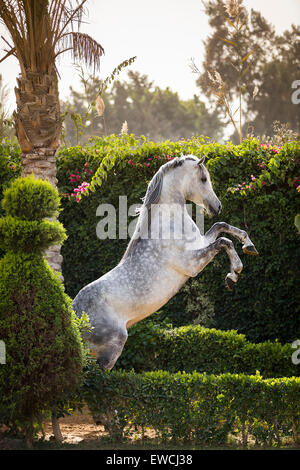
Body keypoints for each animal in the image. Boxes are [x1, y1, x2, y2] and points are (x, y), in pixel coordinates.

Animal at [72, 156, 258, 370]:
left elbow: (222, 227)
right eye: (203, 178)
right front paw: (234, 274)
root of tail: (75, 318)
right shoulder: (191, 264)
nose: (217, 207)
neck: (169, 222)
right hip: (111, 348)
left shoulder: (200, 242)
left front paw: (249, 245)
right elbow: (223, 242)